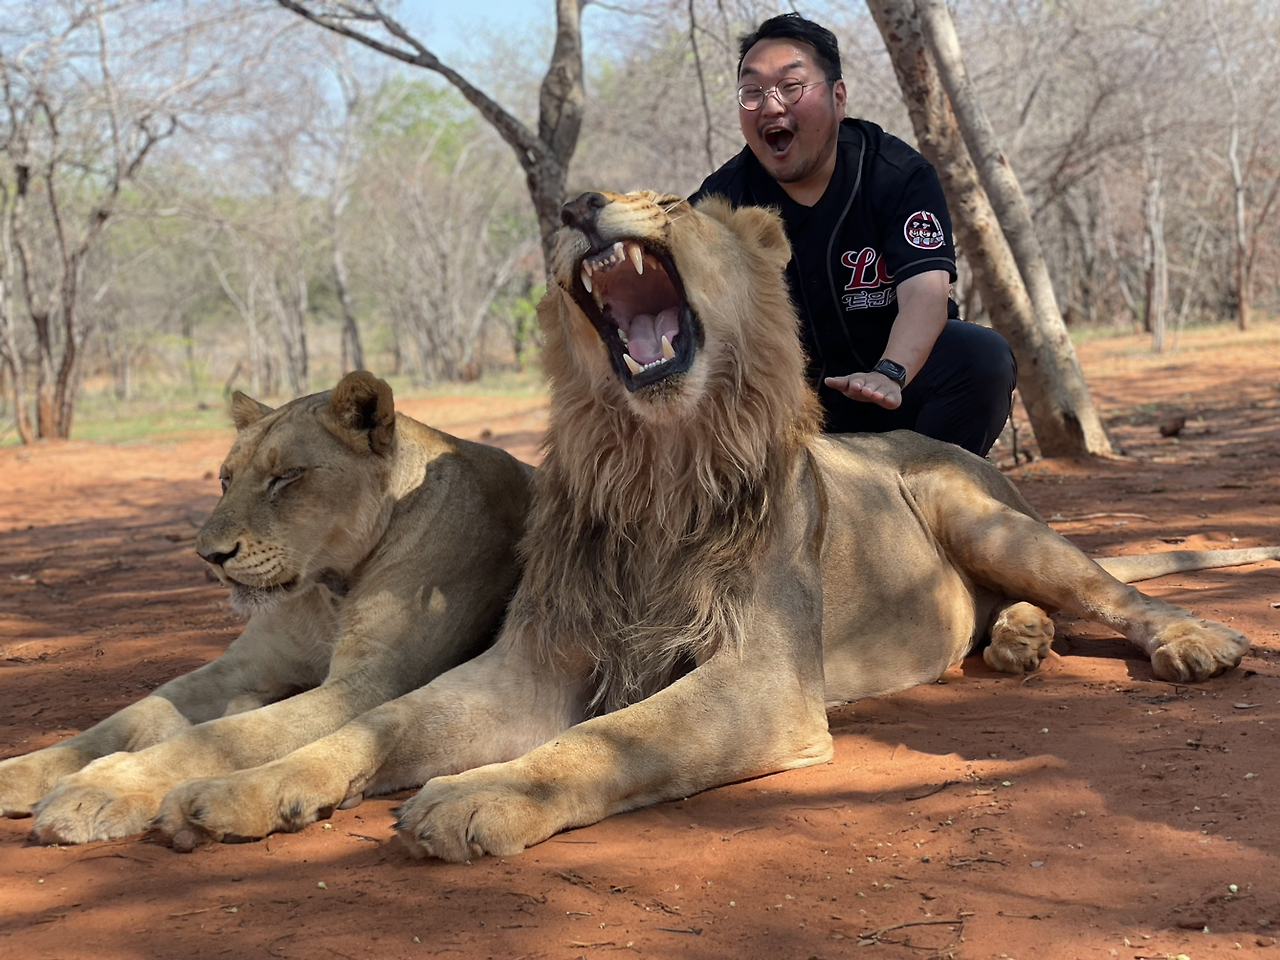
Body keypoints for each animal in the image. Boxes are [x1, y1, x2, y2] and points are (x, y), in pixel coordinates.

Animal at [0, 370, 532, 844]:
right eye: (224, 480)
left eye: (286, 477)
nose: (209, 556)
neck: (328, 587)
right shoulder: (244, 665)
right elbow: (127, 716)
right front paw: (21, 772)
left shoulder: (371, 682)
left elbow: (224, 738)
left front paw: (99, 788)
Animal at [150, 191, 1274, 861]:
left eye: (674, 203)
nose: (576, 202)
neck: (652, 467)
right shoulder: (530, 663)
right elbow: (370, 723)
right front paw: (237, 789)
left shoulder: (763, 681)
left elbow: (607, 738)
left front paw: (474, 797)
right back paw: (1018, 644)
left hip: (983, 517)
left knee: (1112, 593)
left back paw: (1191, 640)